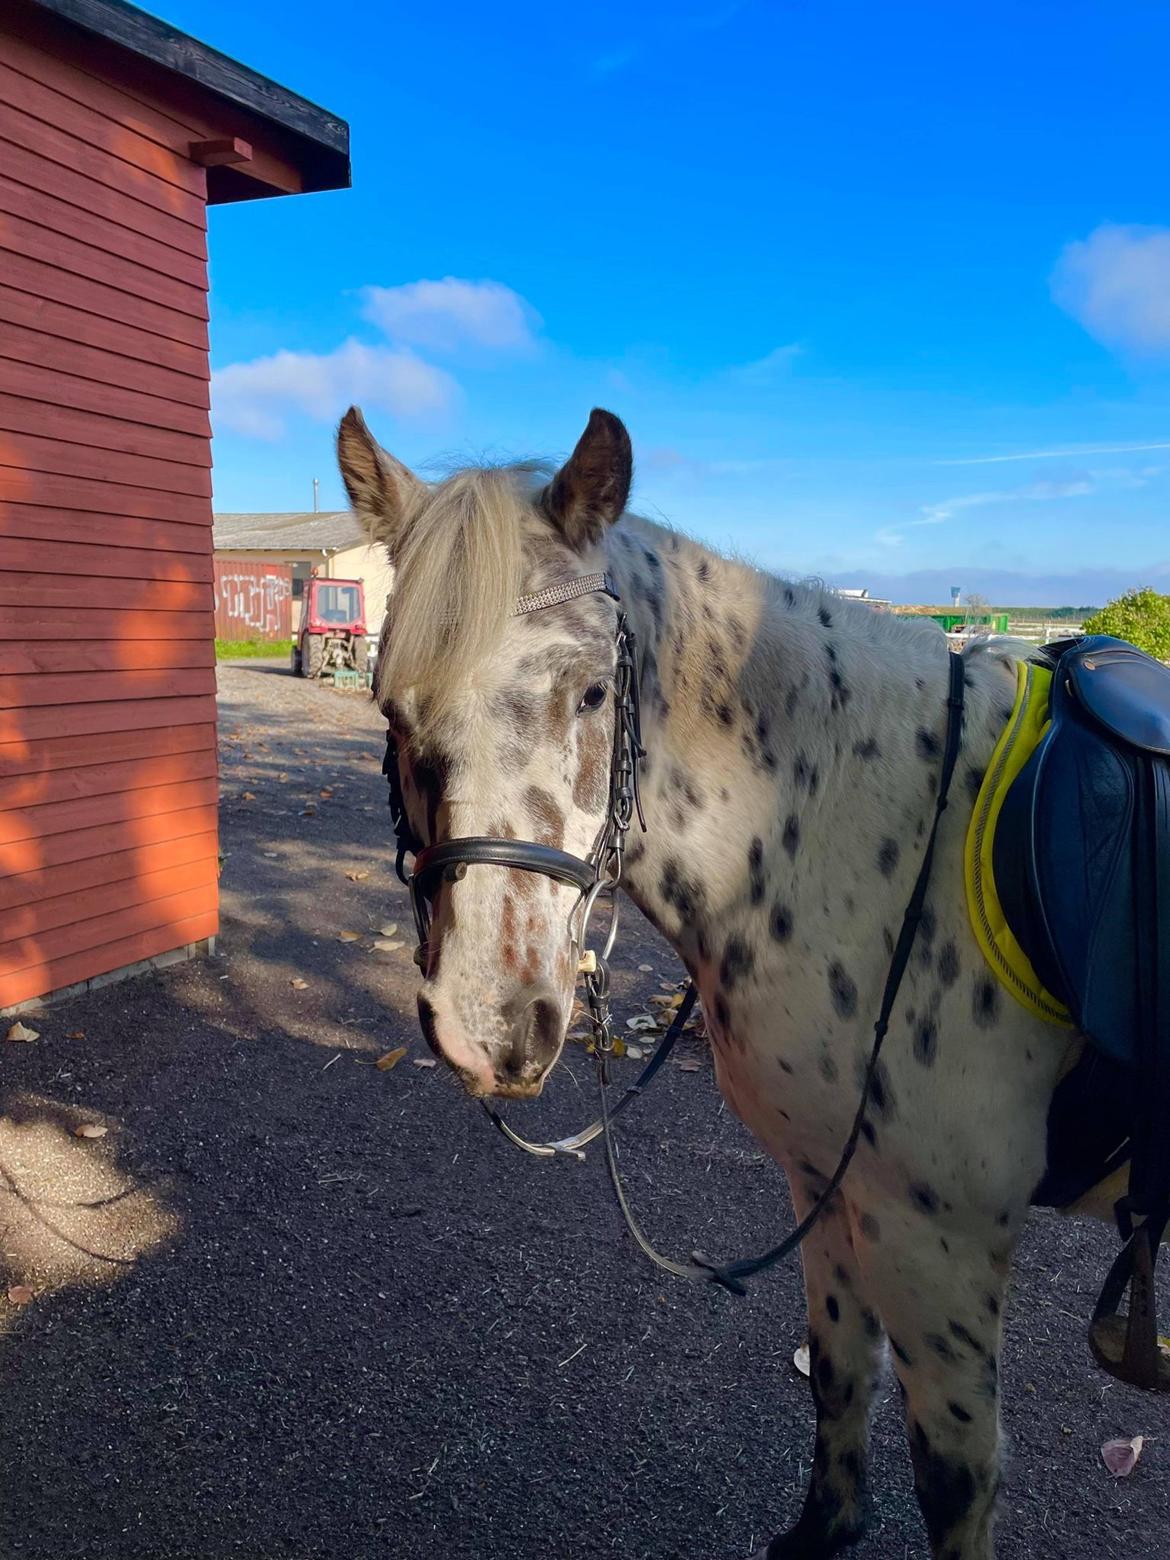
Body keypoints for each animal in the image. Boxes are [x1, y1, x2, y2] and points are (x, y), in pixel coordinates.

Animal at [336, 405, 1166, 1560]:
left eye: (594, 692)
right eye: (393, 710)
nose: (494, 1025)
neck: (866, 829)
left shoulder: (941, 1243)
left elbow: (955, 1476)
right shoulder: (829, 1189)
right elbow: (838, 1377)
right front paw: (822, 1532)